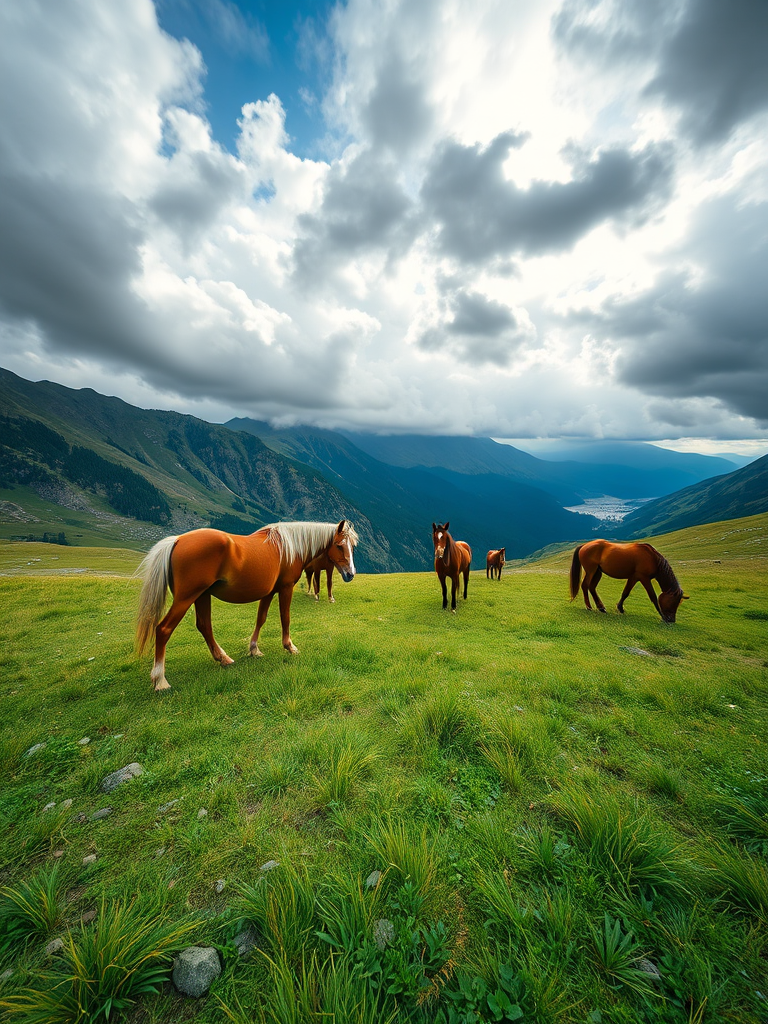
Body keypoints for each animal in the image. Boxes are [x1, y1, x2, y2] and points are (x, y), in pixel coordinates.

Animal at [136, 520, 358, 691]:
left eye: (352, 547)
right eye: (339, 545)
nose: (350, 574)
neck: (289, 547)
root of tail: (178, 540)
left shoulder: (269, 592)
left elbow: (261, 618)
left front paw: (254, 649)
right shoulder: (285, 588)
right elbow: (285, 618)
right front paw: (290, 646)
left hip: (201, 596)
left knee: (204, 626)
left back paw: (223, 658)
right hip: (186, 598)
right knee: (163, 629)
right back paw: (160, 680)